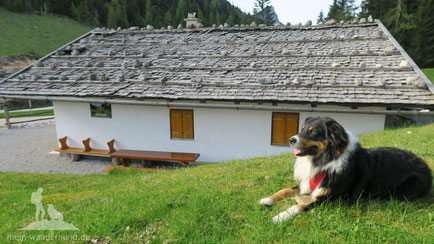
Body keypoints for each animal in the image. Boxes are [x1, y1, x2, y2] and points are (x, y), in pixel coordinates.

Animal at [260, 116, 432, 223]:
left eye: (312, 131)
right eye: (302, 129)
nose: (291, 140)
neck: (327, 159)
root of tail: (427, 167)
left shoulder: (329, 198)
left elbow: (300, 205)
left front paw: (279, 217)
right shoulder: (307, 183)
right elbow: (285, 189)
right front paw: (267, 199)